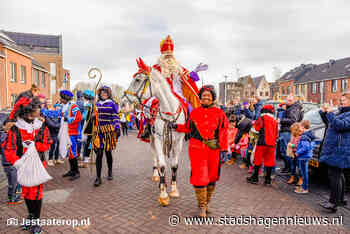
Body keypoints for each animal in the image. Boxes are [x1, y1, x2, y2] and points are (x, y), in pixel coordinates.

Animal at [121, 59, 185, 207]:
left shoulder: (178, 142)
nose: (123, 103)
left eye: (137, 80)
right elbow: (162, 165)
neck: (169, 113)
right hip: (151, 138)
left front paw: (173, 189)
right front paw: (163, 194)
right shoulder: (158, 139)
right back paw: (157, 177)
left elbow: (174, 166)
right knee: (155, 156)